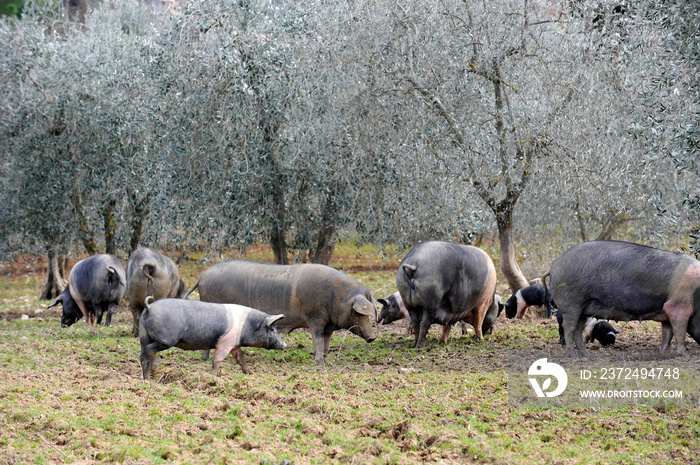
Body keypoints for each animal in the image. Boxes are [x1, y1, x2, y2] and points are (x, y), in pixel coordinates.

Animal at [139, 298, 288, 376]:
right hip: (166, 339)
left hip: (143, 336)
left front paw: (248, 373)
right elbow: (217, 360)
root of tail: (149, 307)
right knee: (151, 349)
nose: (284, 345)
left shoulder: (234, 344)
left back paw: (147, 378)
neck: (247, 325)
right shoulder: (225, 342)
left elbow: (241, 358)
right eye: (273, 329)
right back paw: (155, 372)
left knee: (143, 356)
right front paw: (211, 376)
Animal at [186, 260, 378, 362]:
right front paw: (319, 362)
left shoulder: (328, 325)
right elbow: (317, 340)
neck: (337, 298)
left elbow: (326, 343)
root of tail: (202, 276)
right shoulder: (315, 319)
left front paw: (325, 360)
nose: (372, 337)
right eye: (358, 313)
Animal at [548, 241, 700, 358]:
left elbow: (667, 333)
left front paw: (663, 353)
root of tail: (554, 265)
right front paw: (685, 355)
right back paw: (573, 356)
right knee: (569, 328)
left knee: (578, 329)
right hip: (571, 304)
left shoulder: (666, 313)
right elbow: (679, 332)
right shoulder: (677, 307)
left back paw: (585, 355)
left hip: (582, 309)